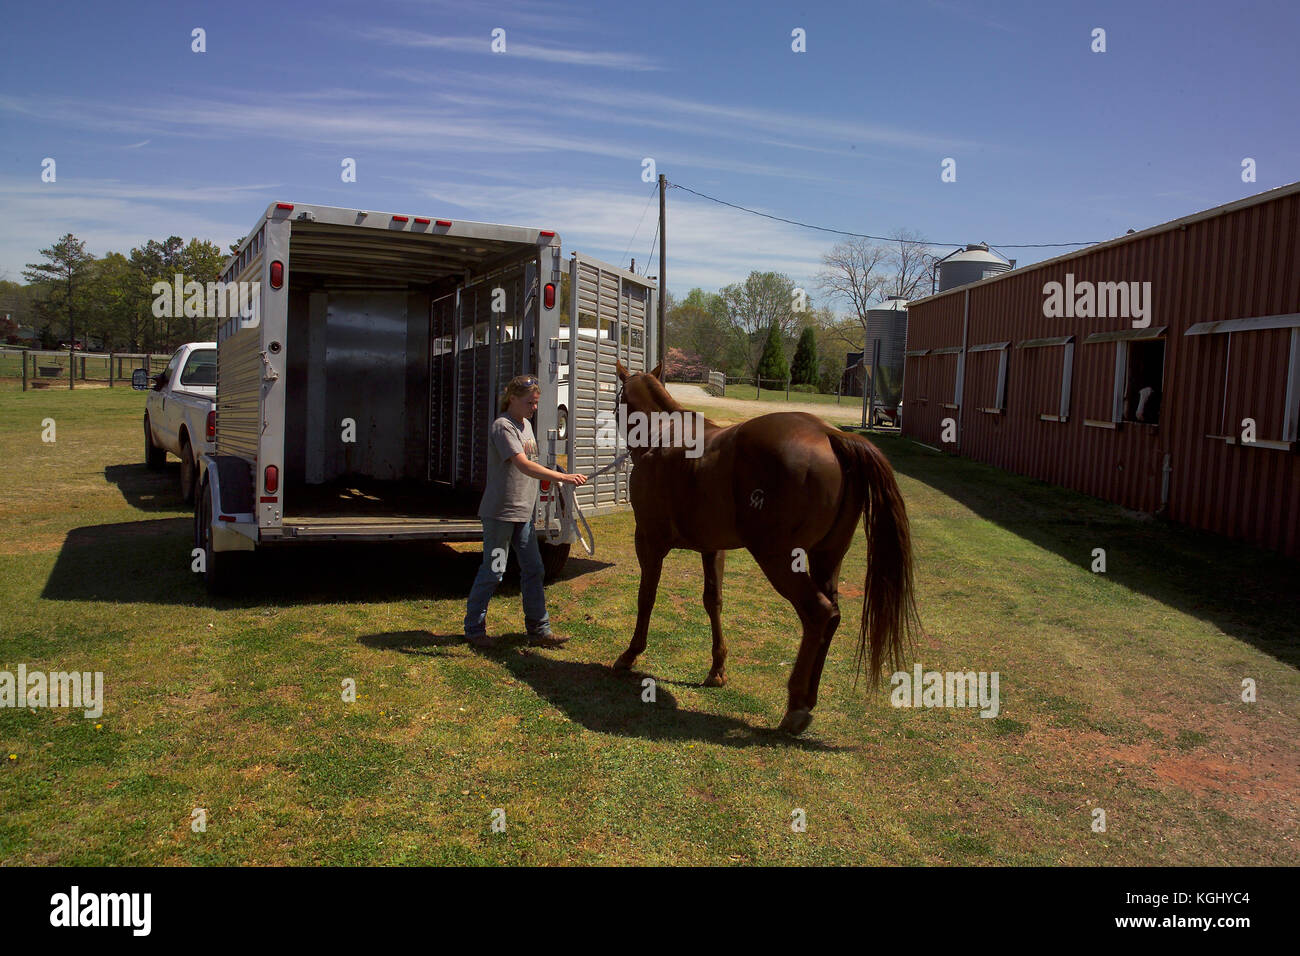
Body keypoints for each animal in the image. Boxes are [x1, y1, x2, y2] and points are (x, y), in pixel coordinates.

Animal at [611, 360, 919, 735]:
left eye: (618, 397)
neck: (663, 435)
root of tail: (829, 435)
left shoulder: (649, 540)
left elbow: (646, 597)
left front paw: (630, 653)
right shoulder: (712, 549)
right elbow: (713, 602)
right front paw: (717, 670)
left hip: (778, 558)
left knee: (818, 613)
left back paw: (796, 706)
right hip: (826, 557)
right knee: (832, 614)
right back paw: (808, 699)